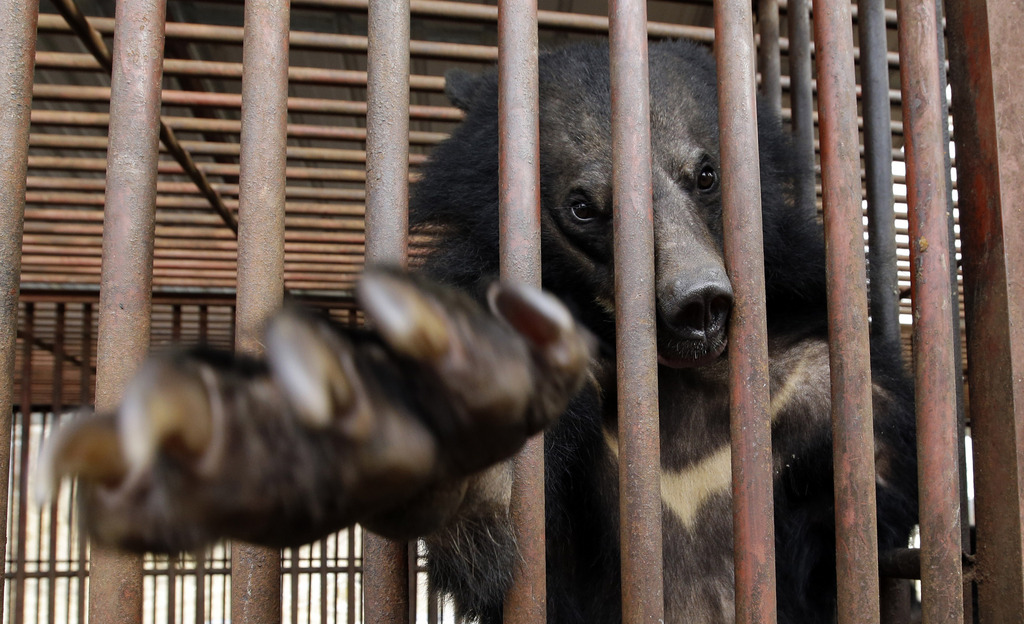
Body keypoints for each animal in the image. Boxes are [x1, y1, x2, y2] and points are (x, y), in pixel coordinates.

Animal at [41, 38, 921, 622]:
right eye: (582, 207)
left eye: (706, 173)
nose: (696, 303)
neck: (668, 383)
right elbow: (491, 528)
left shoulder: (804, 382)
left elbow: (875, 499)